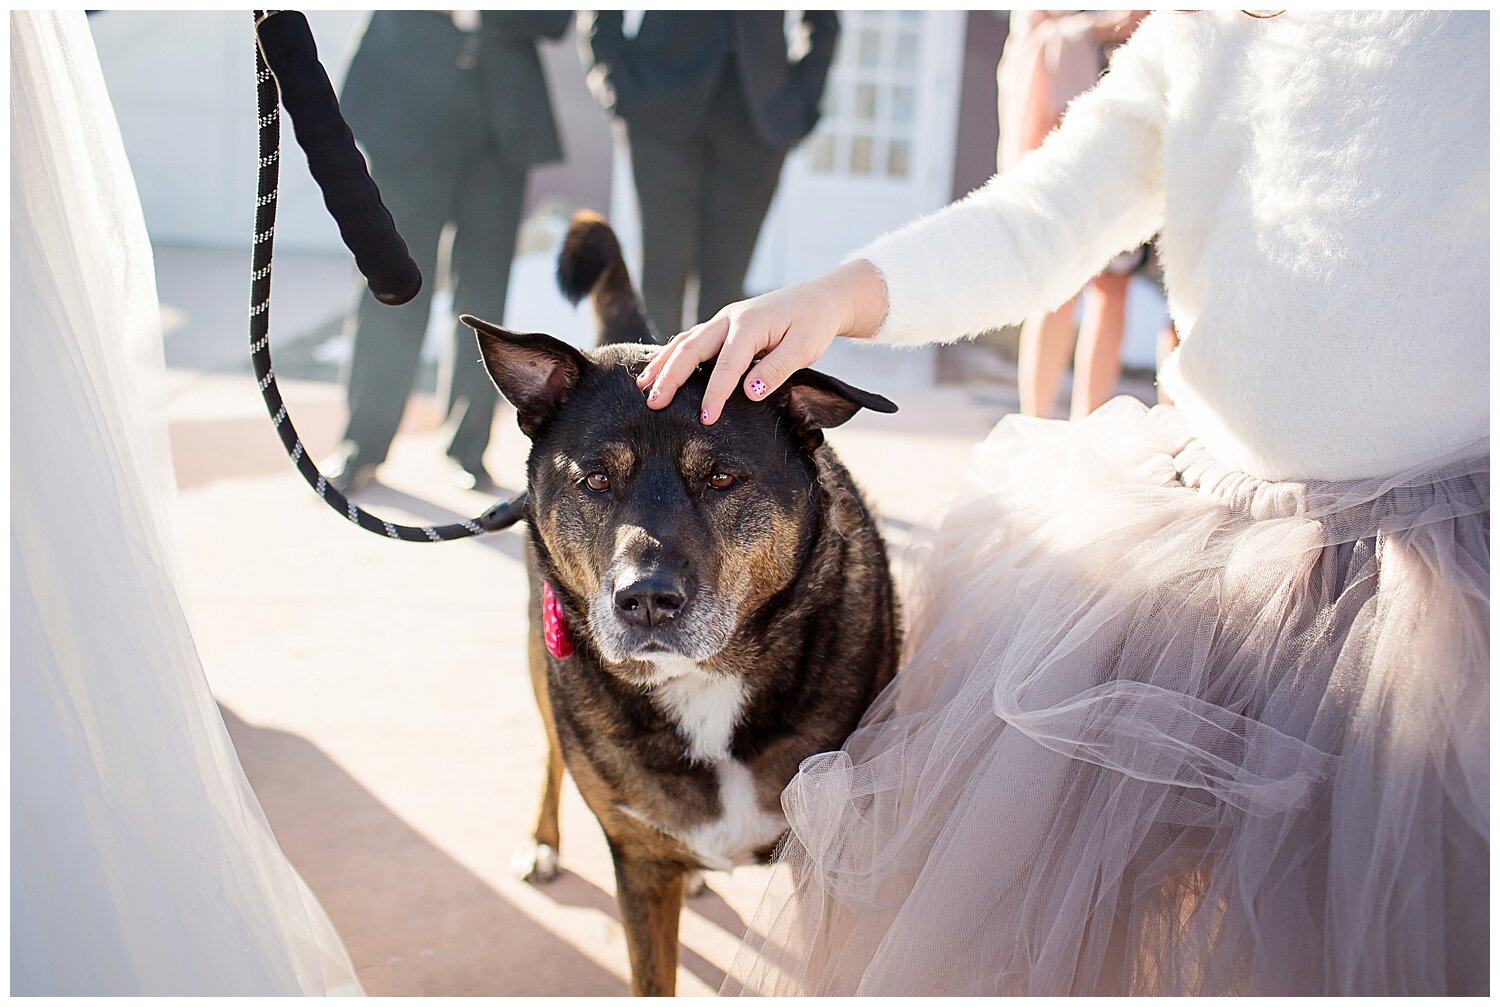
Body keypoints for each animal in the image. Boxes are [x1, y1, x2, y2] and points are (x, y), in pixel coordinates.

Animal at [462, 216, 894, 996]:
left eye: (721, 477)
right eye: (595, 479)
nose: (646, 600)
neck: (708, 681)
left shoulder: (827, 860)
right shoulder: (639, 867)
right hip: (542, 664)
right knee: (550, 751)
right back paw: (542, 841)